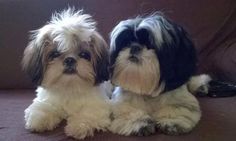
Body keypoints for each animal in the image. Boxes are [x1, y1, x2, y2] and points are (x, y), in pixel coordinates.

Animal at [21, 8, 110, 139]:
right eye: (54, 54)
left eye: (84, 55)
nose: (69, 59)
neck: (69, 88)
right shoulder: (47, 99)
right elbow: (43, 107)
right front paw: (39, 119)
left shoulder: (98, 106)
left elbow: (88, 114)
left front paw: (78, 126)